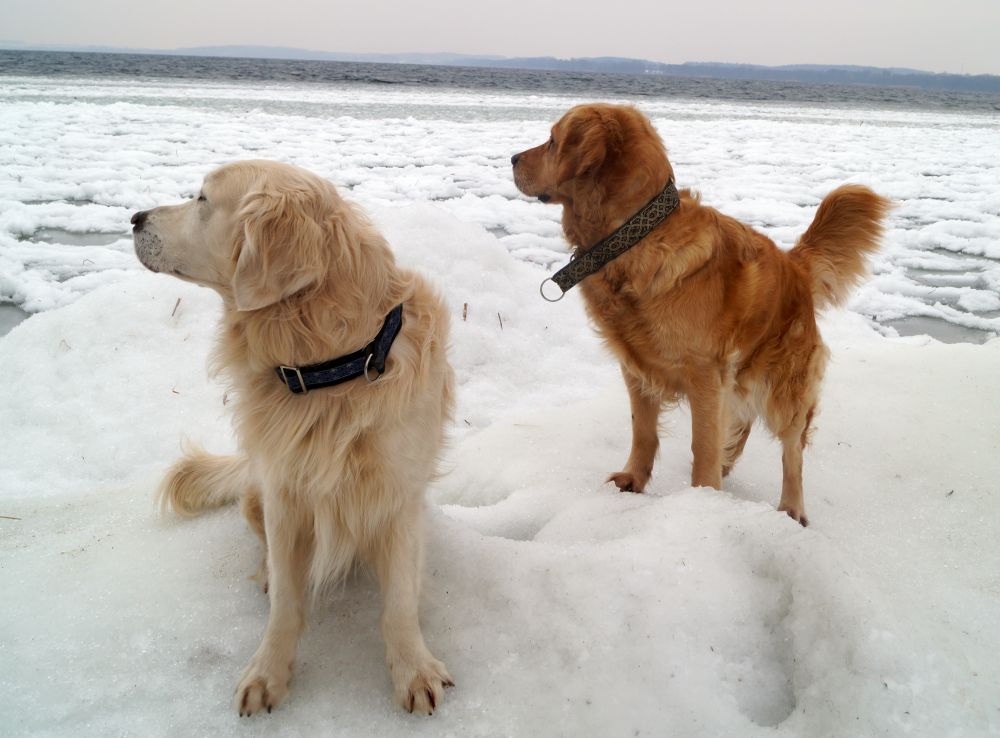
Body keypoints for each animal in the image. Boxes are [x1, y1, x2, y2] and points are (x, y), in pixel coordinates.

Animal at [132, 160, 455, 715]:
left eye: (202, 199)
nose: (134, 218)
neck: (333, 368)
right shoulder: (284, 493)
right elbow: (285, 602)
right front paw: (268, 671)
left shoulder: (398, 498)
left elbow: (398, 604)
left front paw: (413, 667)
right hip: (255, 493)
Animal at [512, 103, 890, 526]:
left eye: (552, 141)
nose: (512, 158)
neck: (636, 237)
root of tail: (793, 264)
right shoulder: (637, 369)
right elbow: (643, 431)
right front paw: (633, 479)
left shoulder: (706, 373)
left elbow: (703, 443)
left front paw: (703, 502)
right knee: (741, 423)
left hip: (785, 386)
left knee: (792, 450)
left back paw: (791, 507)